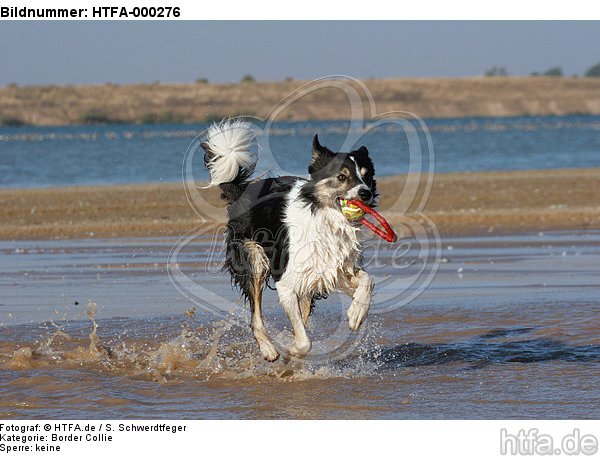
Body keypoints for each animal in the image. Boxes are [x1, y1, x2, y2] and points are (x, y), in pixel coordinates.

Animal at [204, 119, 378, 362]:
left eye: (367, 175)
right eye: (342, 177)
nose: (365, 194)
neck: (324, 217)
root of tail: (243, 190)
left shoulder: (333, 269)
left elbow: (368, 280)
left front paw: (356, 314)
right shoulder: (286, 281)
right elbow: (304, 342)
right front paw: (291, 349)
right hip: (254, 258)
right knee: (256, 317)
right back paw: (268, 350)